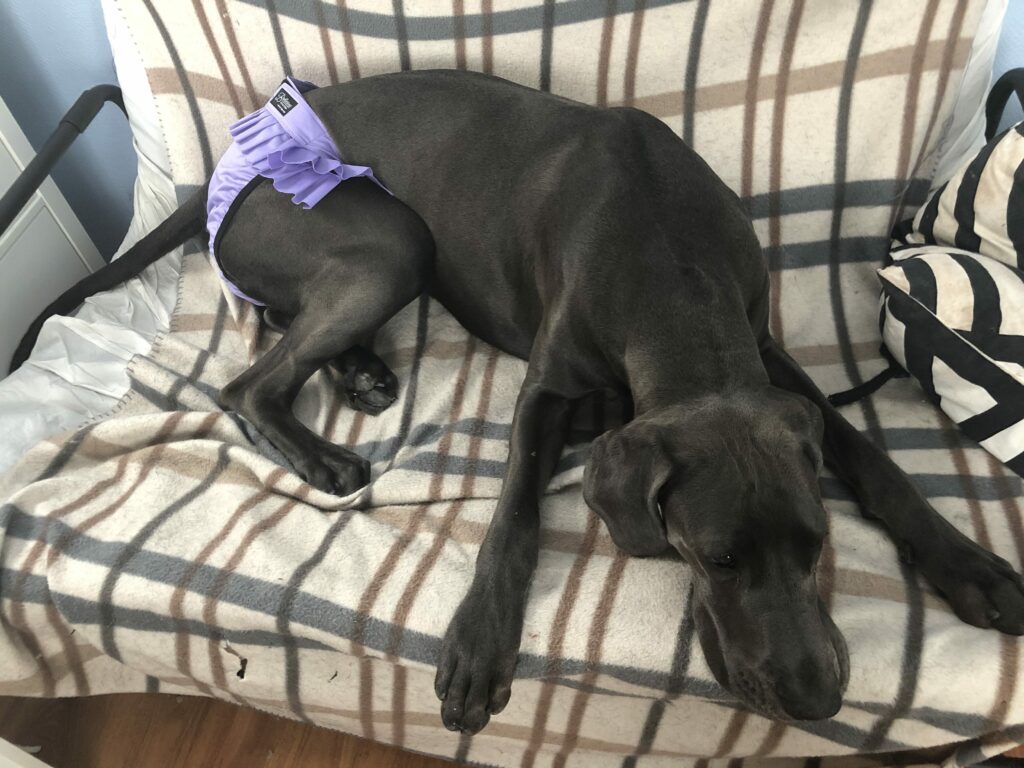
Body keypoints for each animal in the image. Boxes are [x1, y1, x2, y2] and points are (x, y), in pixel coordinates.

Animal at [13, 69, 1024, 734]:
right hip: (389, 240)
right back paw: (325, 450)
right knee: (250, 378)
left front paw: (968, 564)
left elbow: (873, 459)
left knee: (287, 326)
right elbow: (513, 515)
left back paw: (361, 373)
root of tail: (226, 168)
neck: (672, 267)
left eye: (818, 545)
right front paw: (477, 643)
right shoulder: (546, 387)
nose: (817, 700)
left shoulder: (767, 350)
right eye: (717, 559)